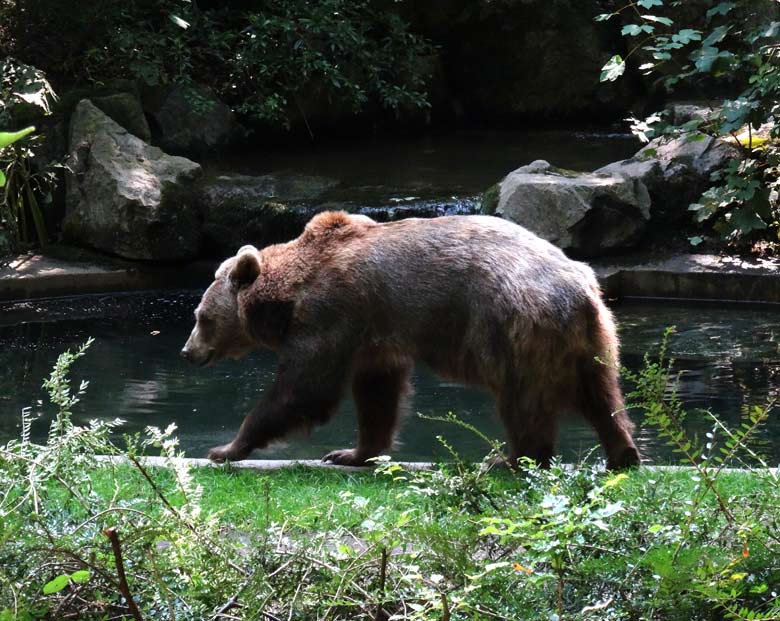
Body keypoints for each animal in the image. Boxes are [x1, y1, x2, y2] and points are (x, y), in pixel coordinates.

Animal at [181, 211, 640, 468]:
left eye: (201, 317)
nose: (188, 352)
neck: (286, 298)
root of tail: (579, 288)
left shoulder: (330, 316)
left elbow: (304, 389)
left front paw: (226, 447)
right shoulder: (373, 335)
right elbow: (378, 394)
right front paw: (352, 453)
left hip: (515, 328)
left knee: (523, 401)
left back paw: (512, 458)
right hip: (593, 338)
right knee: (602, 396)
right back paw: (623, 452)